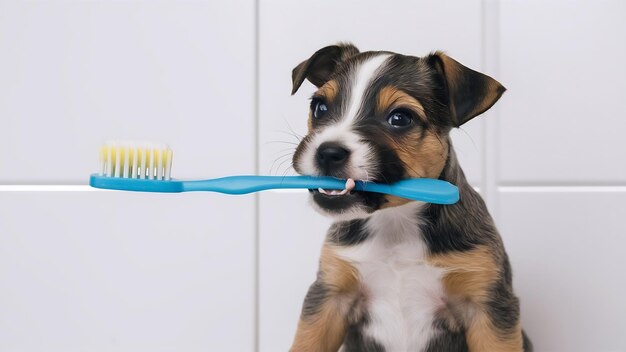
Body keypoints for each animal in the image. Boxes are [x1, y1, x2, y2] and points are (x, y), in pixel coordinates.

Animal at [290, 44, 528, 352]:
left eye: (400, 118)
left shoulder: (489, 310)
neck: (395, 224)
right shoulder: (328, 299)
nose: (328, 152)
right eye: (320, 108)